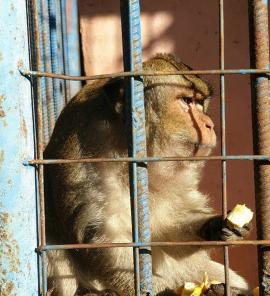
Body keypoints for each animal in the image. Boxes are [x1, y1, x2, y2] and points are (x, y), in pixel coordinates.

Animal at [45, 53, 252, 296]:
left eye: (200, 103)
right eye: (186, 101)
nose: (209, 124)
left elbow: (168, 221)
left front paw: (215, 226)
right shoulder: (89, 153)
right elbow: (109, 237)